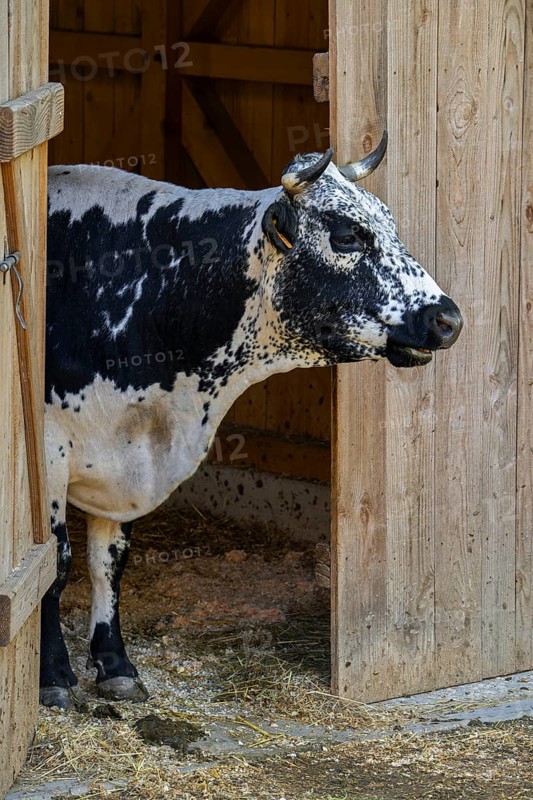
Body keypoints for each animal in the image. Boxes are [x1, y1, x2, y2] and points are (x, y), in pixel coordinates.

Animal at [42, 135, 462, 708]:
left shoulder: (124, 459)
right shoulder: (46, 449)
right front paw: (53, 675)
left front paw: (115, 664)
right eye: (347, 236)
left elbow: (109, 561)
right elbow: (55, 562)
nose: (448, 319)